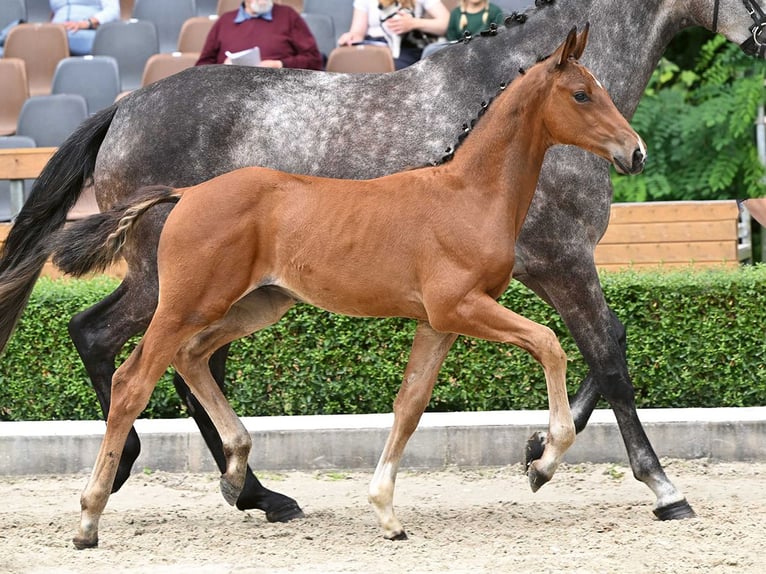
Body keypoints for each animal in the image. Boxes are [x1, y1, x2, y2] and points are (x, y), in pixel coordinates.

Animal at [51, 27, 644, 548]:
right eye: (582, 93)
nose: (634, 151)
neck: (468, 194)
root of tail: (185, 195)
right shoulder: (461, 307)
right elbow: (550, 343)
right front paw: (544, 458)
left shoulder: (437, 323)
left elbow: (410, 404)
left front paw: (387, 512)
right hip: (184, 302)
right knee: (132, 380)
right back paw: (90, 518)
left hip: (256, 305)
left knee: (191, 357)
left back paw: (239, 473)